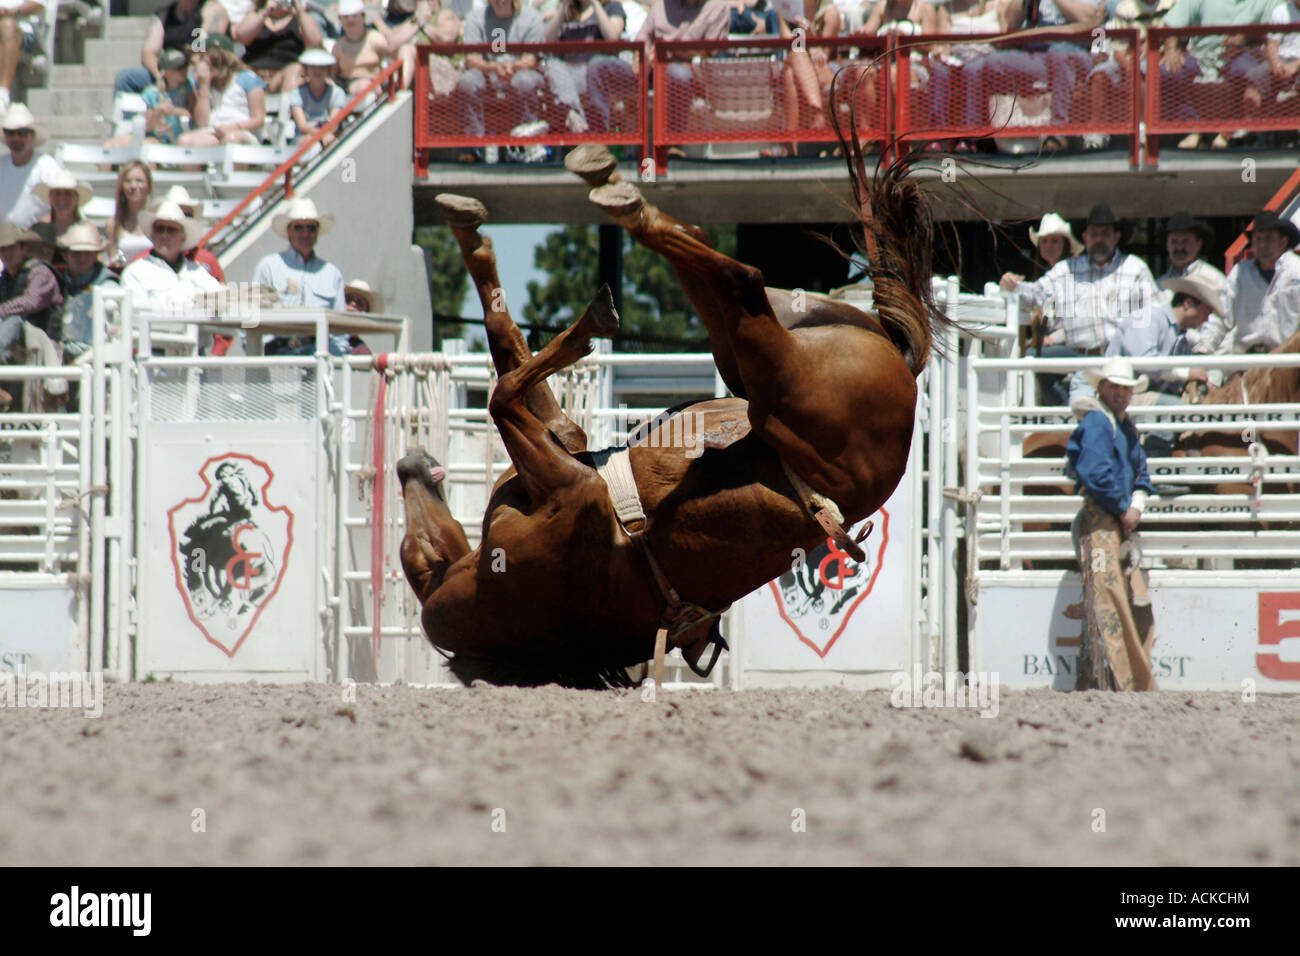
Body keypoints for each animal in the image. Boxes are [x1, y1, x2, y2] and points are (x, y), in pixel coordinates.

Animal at [395, 145, 956, 686]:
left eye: (411, 548)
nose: (407, 466)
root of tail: (901, 362)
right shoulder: (574, 478)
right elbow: (508, 388)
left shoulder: (569, 469)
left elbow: (506, 370)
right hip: (777, 369)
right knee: (739, 281)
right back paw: (618, 203)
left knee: (732, 274)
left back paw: (603, 195)